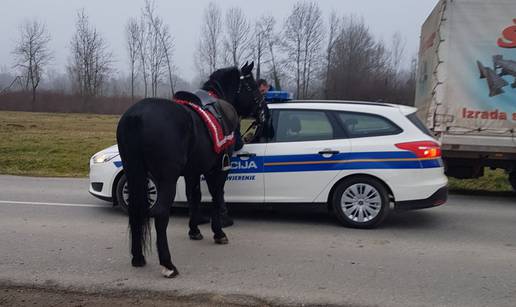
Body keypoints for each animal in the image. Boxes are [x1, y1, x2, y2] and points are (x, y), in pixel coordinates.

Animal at [116, 62, 262, 280]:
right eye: (252, 86)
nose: (263, 111)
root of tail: (137, 116)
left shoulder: (192, 172)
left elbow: (194, 197)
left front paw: (194, 230)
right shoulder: (217, 170)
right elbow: (217, 197)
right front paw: (219, 232)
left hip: (135, 173)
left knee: (136, 211)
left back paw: (138, 257)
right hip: (166, 178)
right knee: (160, 213)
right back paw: (168, 264)